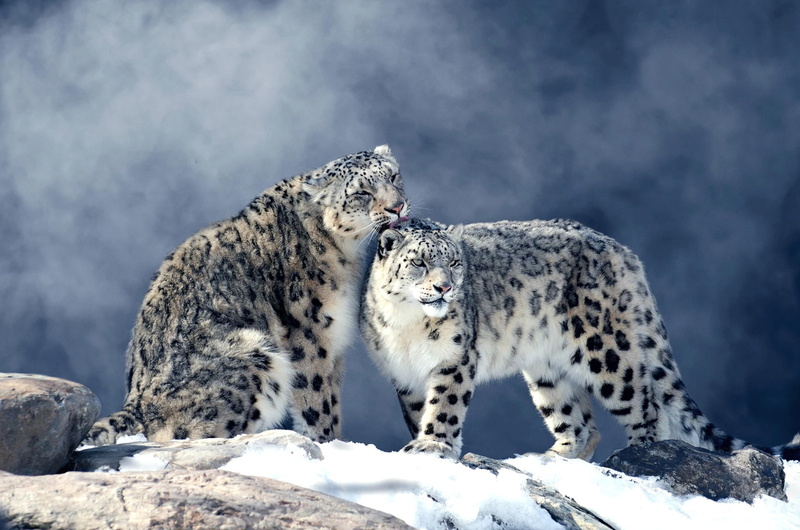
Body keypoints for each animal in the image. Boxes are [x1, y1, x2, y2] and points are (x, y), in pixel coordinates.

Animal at [84, 145, 409, 446]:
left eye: (394, 176)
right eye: (362, 192)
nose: (398, 207)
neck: (345, 250)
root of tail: (136, 403)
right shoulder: (311, 338)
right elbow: (319, 402)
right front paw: (330, 444)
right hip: (254, 355)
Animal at [360, 218, 800, 461]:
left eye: (454, 262)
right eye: (419, 262)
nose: (445, 288)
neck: (409, 326)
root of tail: (621, 250)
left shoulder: (454, 359)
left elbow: (445, 406)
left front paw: (433, 445)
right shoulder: (404, 376)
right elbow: (419, 411)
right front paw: (423, 442)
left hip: (607, 351)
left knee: (645, 402)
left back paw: (637, 454)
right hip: (547, 370)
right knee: (580, 421)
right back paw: (550, 458)